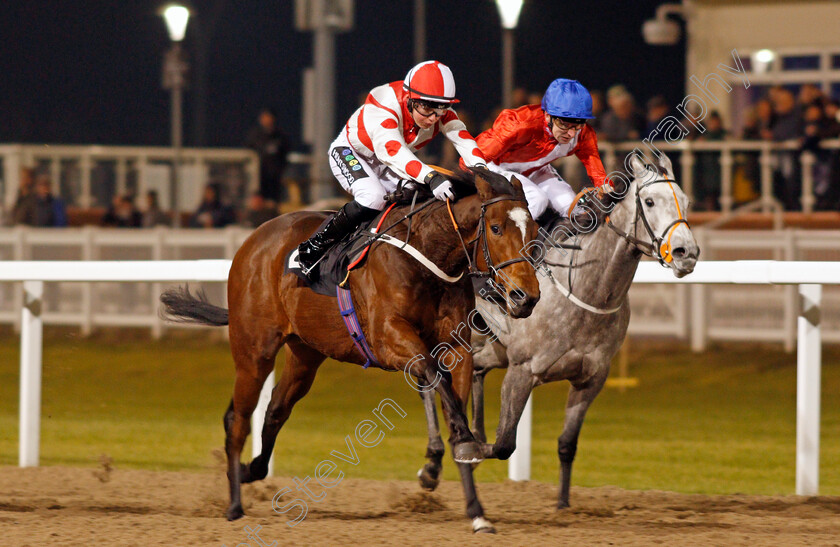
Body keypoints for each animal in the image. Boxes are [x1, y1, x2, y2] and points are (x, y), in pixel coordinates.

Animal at [159, 167, 540, 524]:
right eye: (495, 228)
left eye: (534, 230)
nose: (527, 297)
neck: (427, 255)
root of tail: (253, 240)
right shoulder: (390, 339)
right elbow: (436, 380)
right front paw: (456, 453)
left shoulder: (456, 348)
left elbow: (452, 402)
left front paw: (475, 509)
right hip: (254, 351)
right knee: (238, 418)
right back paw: (235, 504)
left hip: (305, 353)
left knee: (275, 410)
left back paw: (249, 470)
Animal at [416, 152, 700, 532]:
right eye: (651, 201)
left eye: (686, 201)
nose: (686, 252)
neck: (585, 288)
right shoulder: (522, 371)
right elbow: (503, 443)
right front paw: (471, 450)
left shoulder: (591, 379)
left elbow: (567, 444)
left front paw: (564, 505)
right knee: (428, 385)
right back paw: (432, 464)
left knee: (471, 375)